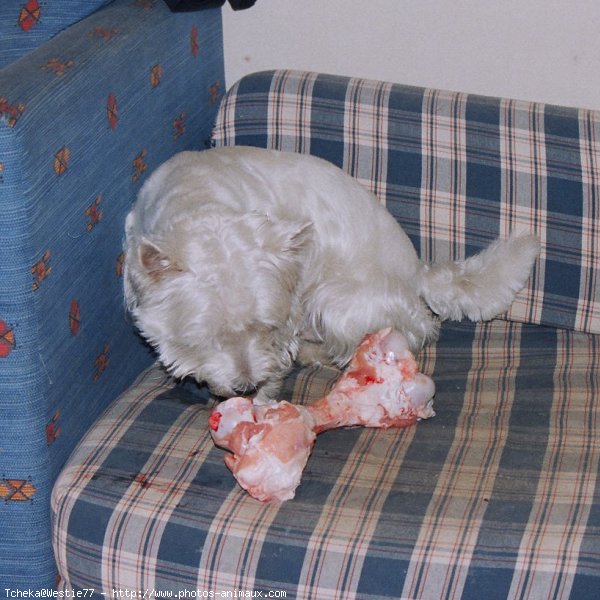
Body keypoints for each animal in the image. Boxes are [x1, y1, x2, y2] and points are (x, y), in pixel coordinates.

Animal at [124, 145, 540, 400]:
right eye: (207, 338)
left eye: (265, 328)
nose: (247, 387)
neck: (200, 199)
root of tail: (418, 273)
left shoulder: (291, 298)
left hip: (337, 299)